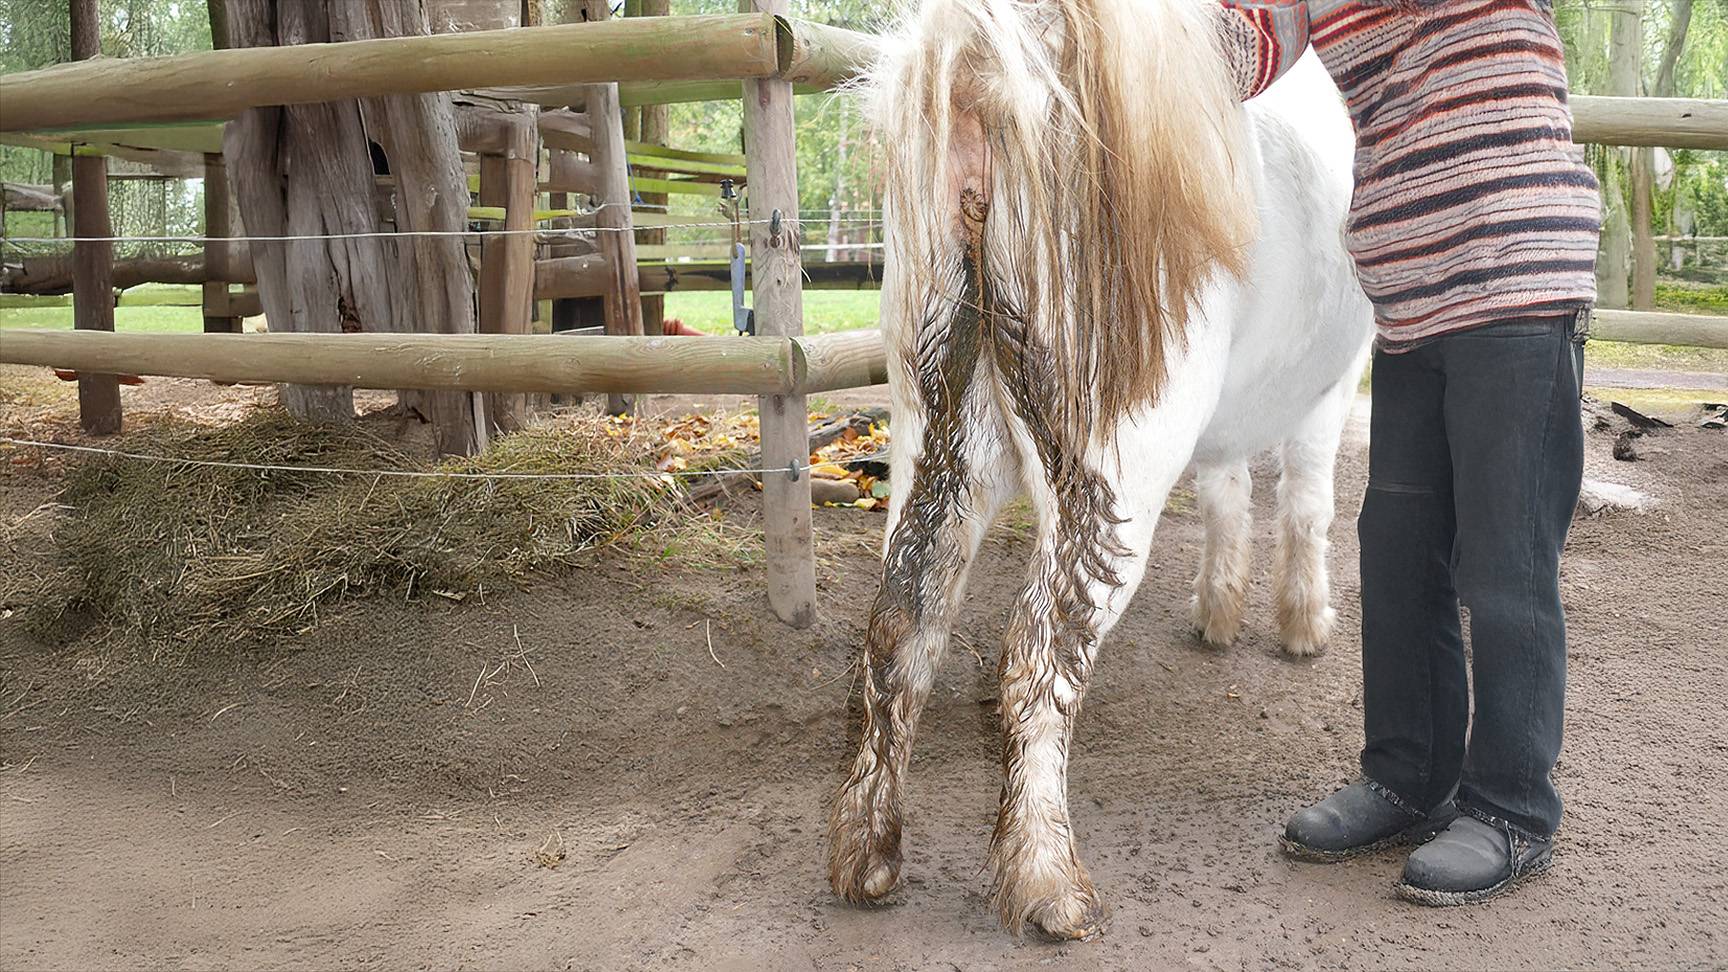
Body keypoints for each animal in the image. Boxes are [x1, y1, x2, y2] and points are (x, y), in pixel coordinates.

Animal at [827, 0, 1374, 941]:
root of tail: (990, 70)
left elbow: (1229, 493)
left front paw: (1219, 608)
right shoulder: (1331, 391)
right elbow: (1308, 504)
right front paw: (1303, 622)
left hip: (940, 414)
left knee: (902, 622)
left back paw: (869, 854)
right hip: (1110, 457)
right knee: (1038, 653)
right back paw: (1048, 882)